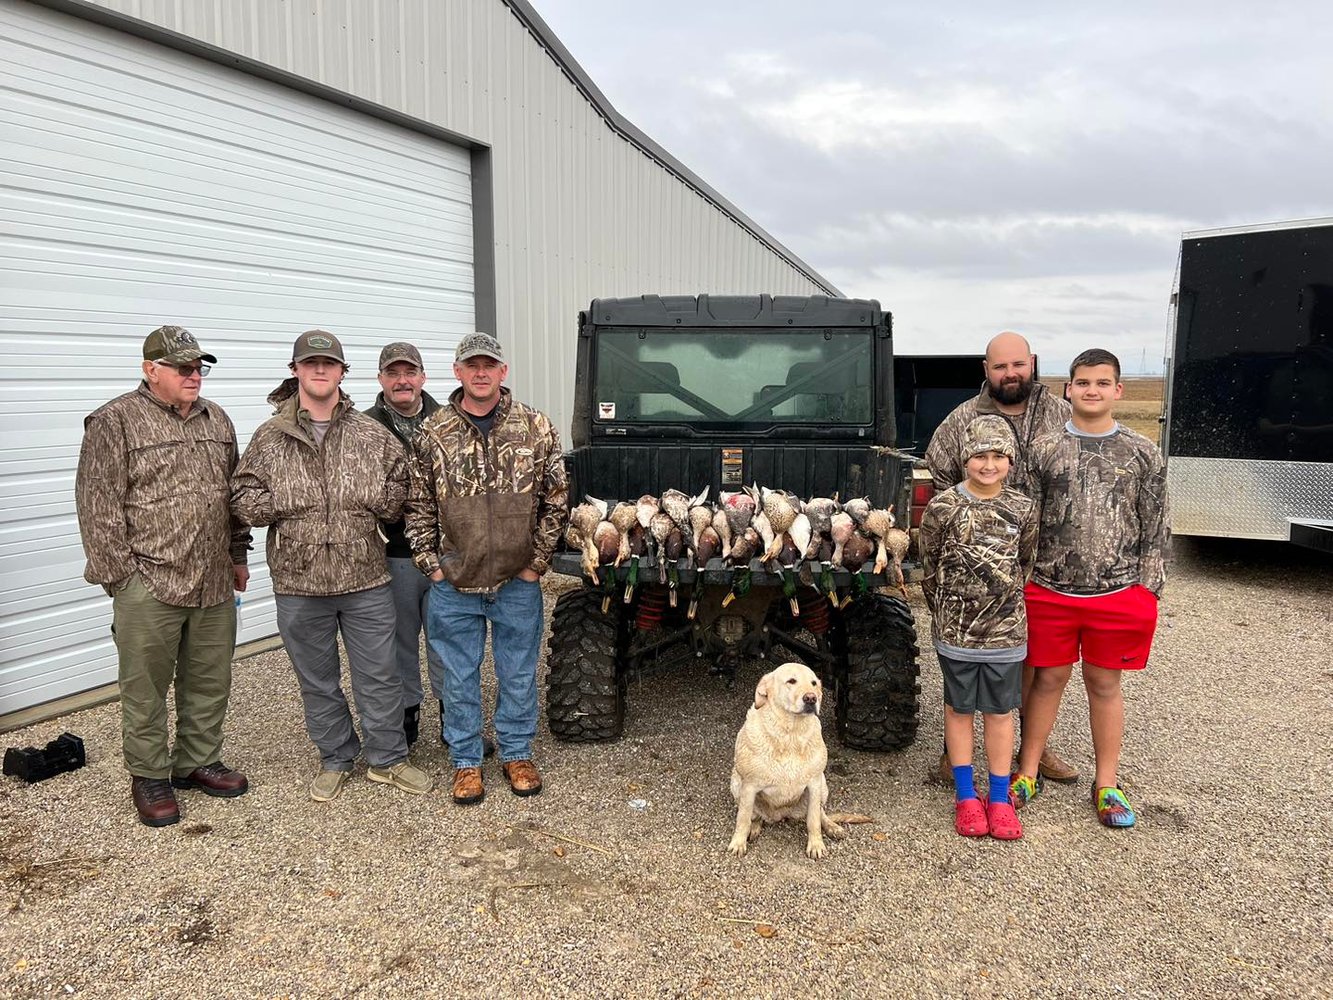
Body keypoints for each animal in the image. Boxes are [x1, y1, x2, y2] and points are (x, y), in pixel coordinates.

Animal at [730, 666, 842, 864]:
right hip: (736, 784)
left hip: (823, 787)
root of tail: (780, 815)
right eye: (791, 681)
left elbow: (813, 820)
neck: (790, 735)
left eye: (814, 683)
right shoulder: (749, 786)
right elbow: (743, 819)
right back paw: (754, 827)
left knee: (821, 812)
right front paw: (738, 842)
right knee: (755, 816)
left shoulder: (814, 784)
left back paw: (832, 827)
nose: (811, 698)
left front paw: (816, 844)